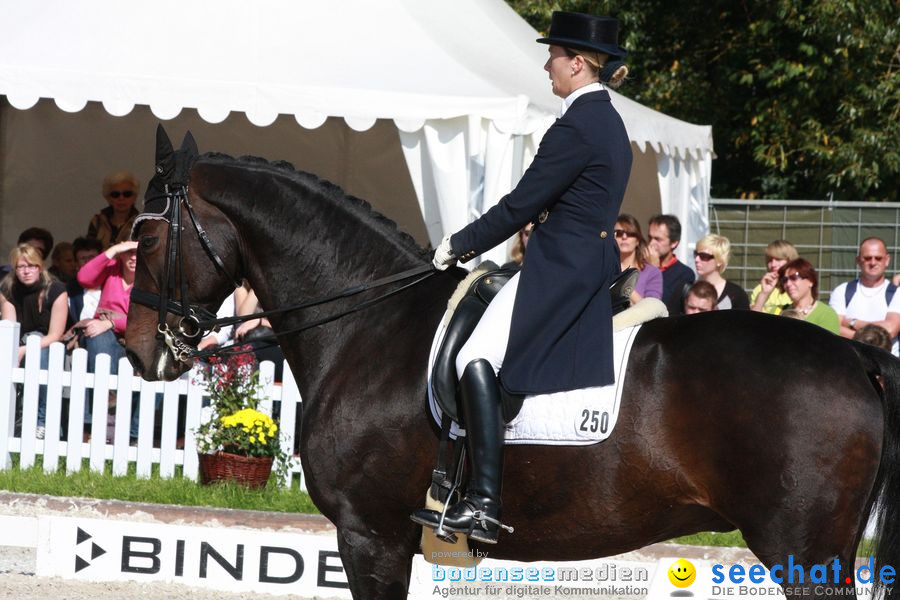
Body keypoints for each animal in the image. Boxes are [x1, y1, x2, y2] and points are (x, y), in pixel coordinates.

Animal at [125, 136, 900, 600]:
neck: (368, 322)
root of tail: (854, 352)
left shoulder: (370, 536)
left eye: (151, 238)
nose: (137, 348)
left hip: (803, 552)